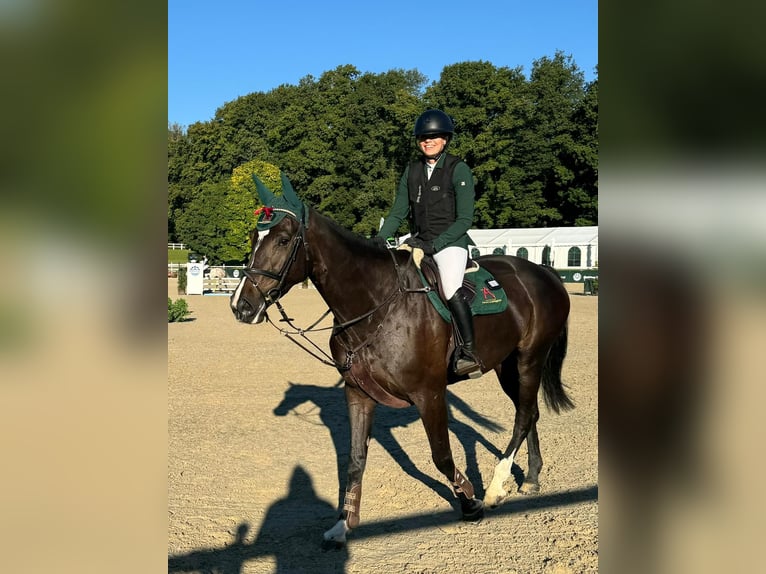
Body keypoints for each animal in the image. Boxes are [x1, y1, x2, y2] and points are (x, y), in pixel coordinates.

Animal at [230, 174, 573, 547]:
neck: (375, 303)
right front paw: (343, 524)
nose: (241, 306)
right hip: (505, 366)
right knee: (529, 411)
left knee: (523, 416)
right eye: (253, 239)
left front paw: (470, 502)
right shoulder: (357, 393)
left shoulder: (429, 394)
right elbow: (355, 459)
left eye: (282, 240)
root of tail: (542, 270)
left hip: (529, 359)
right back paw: (532, 477)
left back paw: (496, 488)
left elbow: (441, 456)